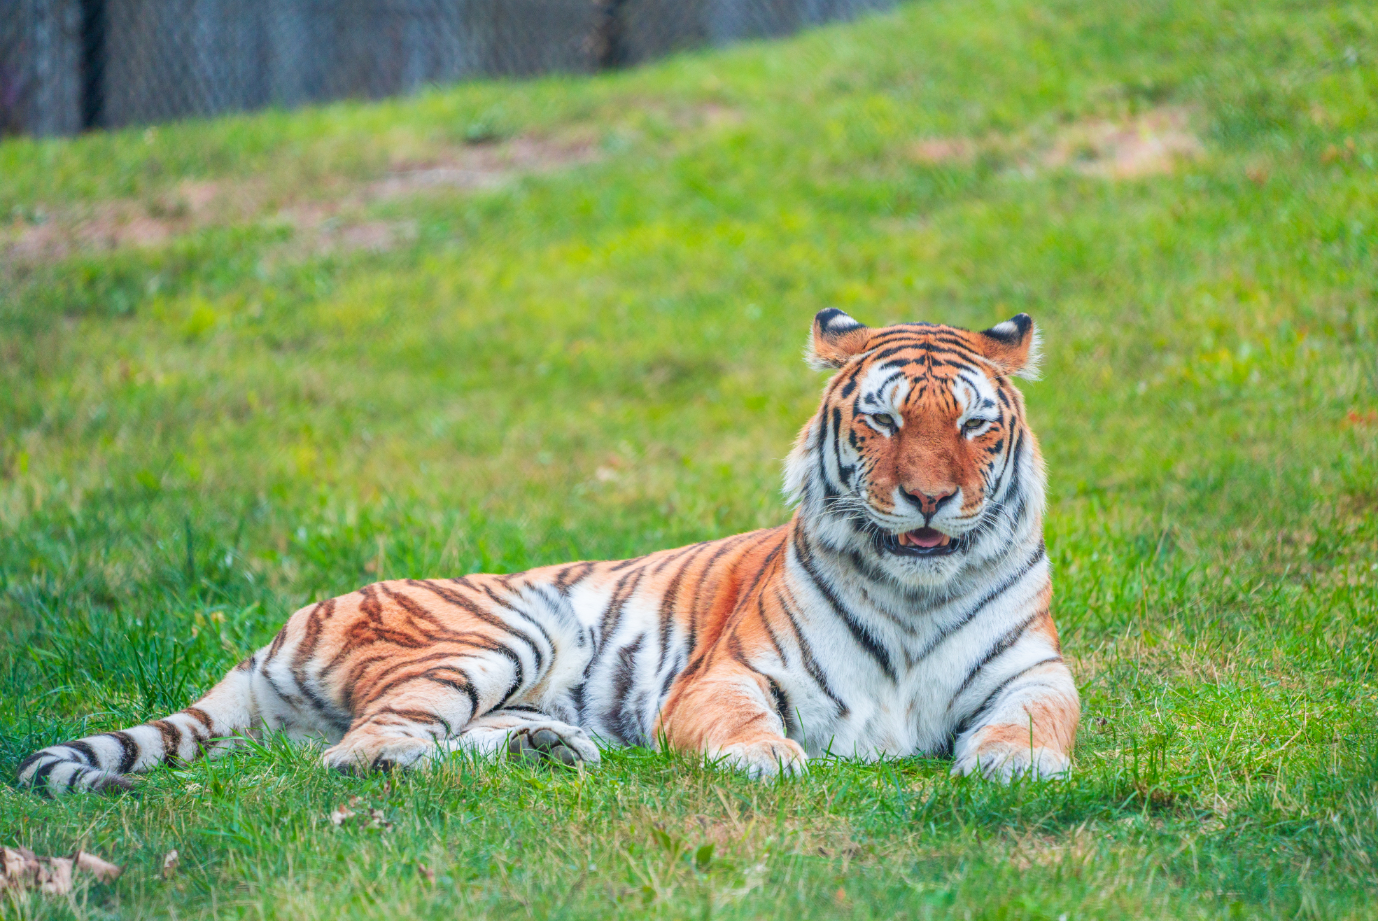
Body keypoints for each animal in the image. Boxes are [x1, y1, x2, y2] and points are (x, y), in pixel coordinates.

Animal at [18, 310, 1079, 795]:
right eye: (885, 420)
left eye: (974, 426)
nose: (930, 497)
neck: (915, 590)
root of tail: (279, 628)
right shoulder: (728, 676)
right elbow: (743, 725)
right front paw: (771, 760)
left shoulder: (1034, 672)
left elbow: (1033, 723)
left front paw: (1019, 767)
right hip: (498, 632)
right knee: (367, 750)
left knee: (399, 743)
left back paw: (549, 744)